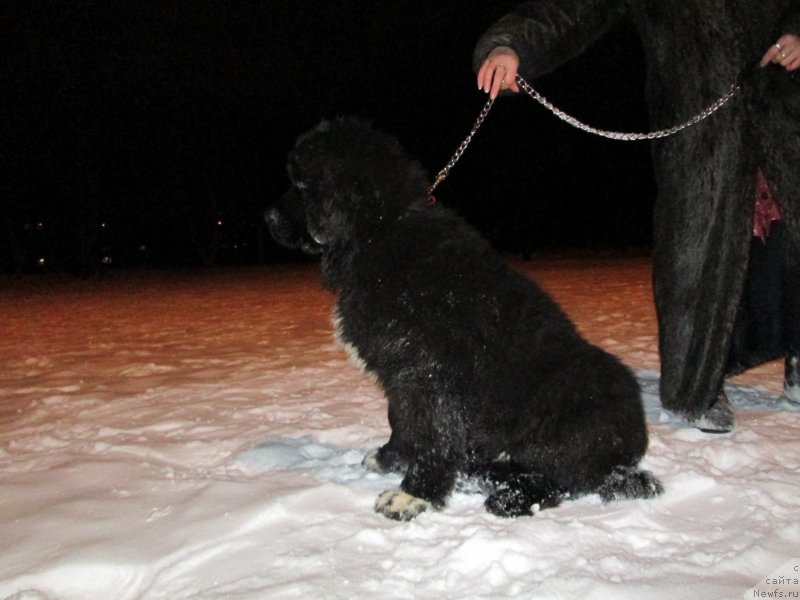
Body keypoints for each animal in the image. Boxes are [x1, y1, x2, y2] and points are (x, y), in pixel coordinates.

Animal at [266, 118, 660, 520]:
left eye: (302, 184)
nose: (268, 216)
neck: (380, 231)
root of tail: (627, 450)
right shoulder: (401, 373)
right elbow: (401, 420)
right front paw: (392, 458)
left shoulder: (430, 372)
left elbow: (432, 434)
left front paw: (414, 494)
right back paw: (482, 472)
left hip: (574, 401)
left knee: (565, 476)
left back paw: (510, 495)